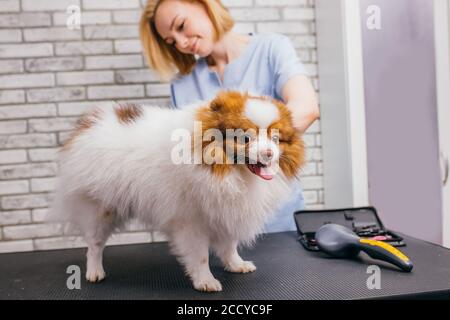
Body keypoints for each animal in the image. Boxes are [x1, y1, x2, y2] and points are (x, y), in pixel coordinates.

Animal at [47, 90, 304, 292]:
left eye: (275, 139)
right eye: (246, 138)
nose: (269, 153)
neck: (229, 173)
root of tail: (89, 123)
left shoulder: (225, 210)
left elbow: (230, 245)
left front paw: (236, 264)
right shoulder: (190, 221)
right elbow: (200, 255)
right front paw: (205, 281)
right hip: (100, 209)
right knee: (94, 245)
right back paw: (95, 272)